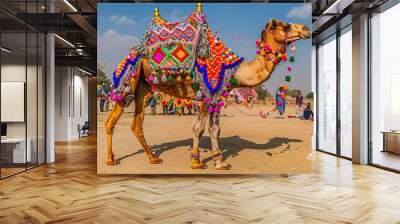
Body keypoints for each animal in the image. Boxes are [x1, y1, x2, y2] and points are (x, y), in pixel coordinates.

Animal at [104, 3, 310, 169]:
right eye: (285, 25)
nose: (306, 28)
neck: (234, 69)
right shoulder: (206, 94)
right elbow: (198, 128)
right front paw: (196, 161)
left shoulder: (216, 97)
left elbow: (215, 130)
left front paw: (220, 162)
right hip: (127, 82)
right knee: (111, 121)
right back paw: (111, 160)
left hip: (144, 88)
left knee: (137, 123)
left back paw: (153, 158)